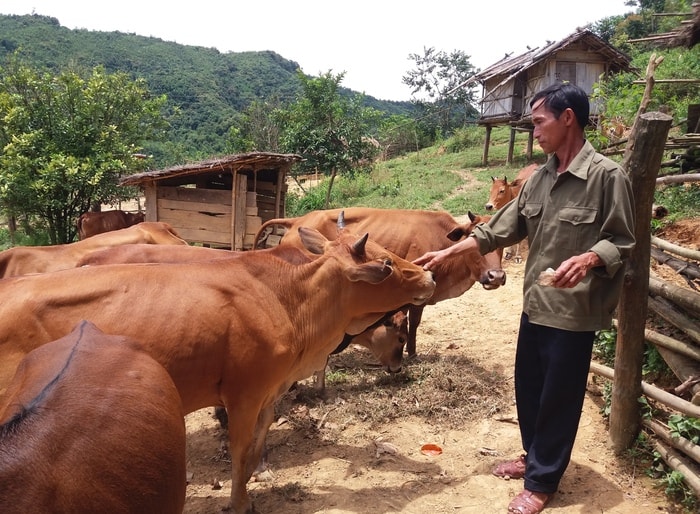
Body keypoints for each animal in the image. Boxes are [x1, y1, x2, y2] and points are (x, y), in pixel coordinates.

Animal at [252, 206, 504, 354]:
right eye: (474, 238)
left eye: (500, 242)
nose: (496, 276)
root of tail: (298, 220)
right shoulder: (417, 297)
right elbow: (413, 324)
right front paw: (411, 354)